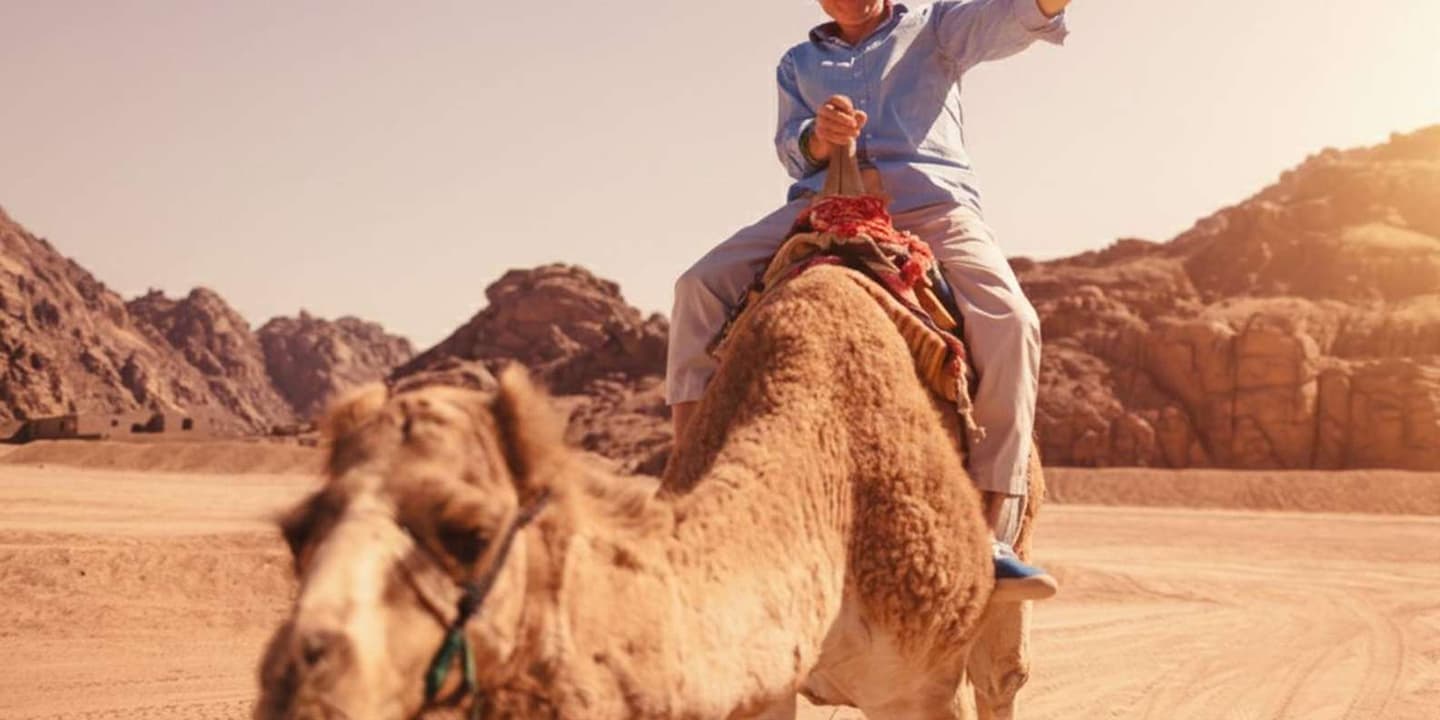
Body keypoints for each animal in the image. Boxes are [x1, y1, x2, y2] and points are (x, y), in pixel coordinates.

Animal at [255, 255, 1044, 719]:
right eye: (295, 533)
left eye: (471, 534)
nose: (297, 686)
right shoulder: (761, 682)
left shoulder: (922, 679)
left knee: (1003, 677)